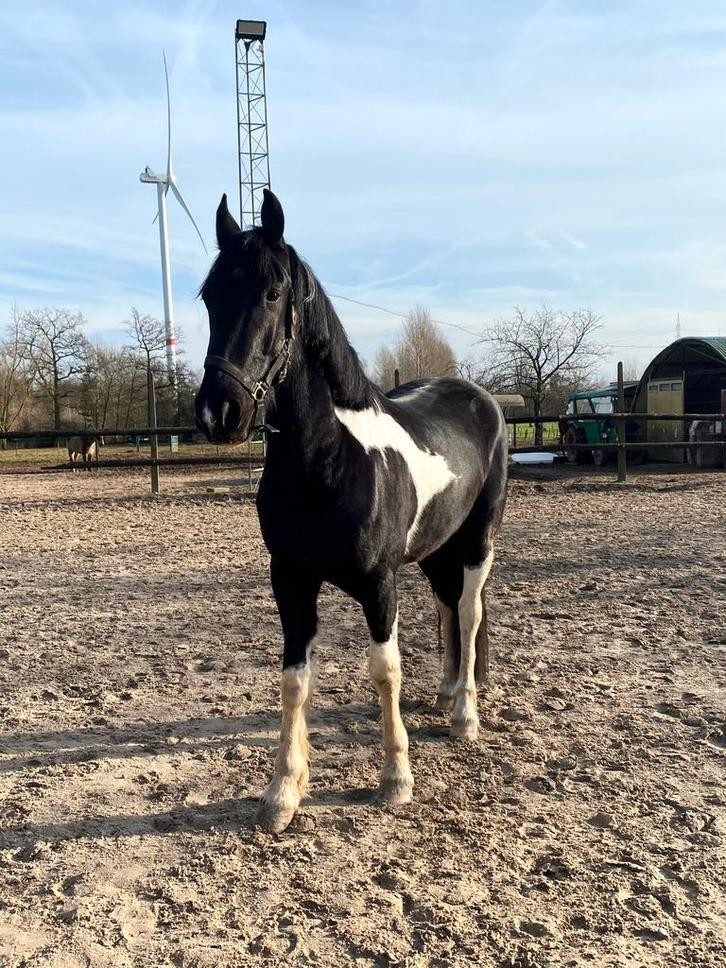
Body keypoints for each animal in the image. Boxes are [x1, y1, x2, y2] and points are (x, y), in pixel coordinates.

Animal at [195, 191, 508, 833]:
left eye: (272, 292)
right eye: (210, 294)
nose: (220, 412)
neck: (330, 459)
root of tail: (481, 398)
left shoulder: (378, 584)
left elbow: (384, 671)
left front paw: (395, 779)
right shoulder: (291, 580)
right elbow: (294, 680)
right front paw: (283, 792)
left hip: (477, 542)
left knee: (467, 612)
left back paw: (463, 715)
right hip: (435, 549)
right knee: (446, 607)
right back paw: (445, 693)